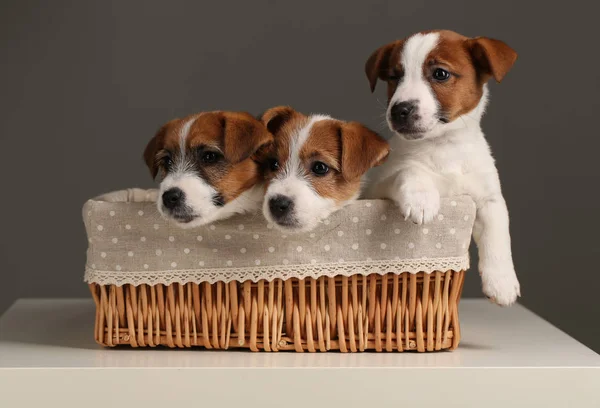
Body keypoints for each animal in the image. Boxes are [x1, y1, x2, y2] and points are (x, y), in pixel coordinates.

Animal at [364, 30, 524, 304]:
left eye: (440, 74)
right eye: (394, 77)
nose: (398, 110)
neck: (445, 146)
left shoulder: (488, 198)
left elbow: (499, 234)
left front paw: (501, 282)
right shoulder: (380, 187)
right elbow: (411, 170)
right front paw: (421, 199)